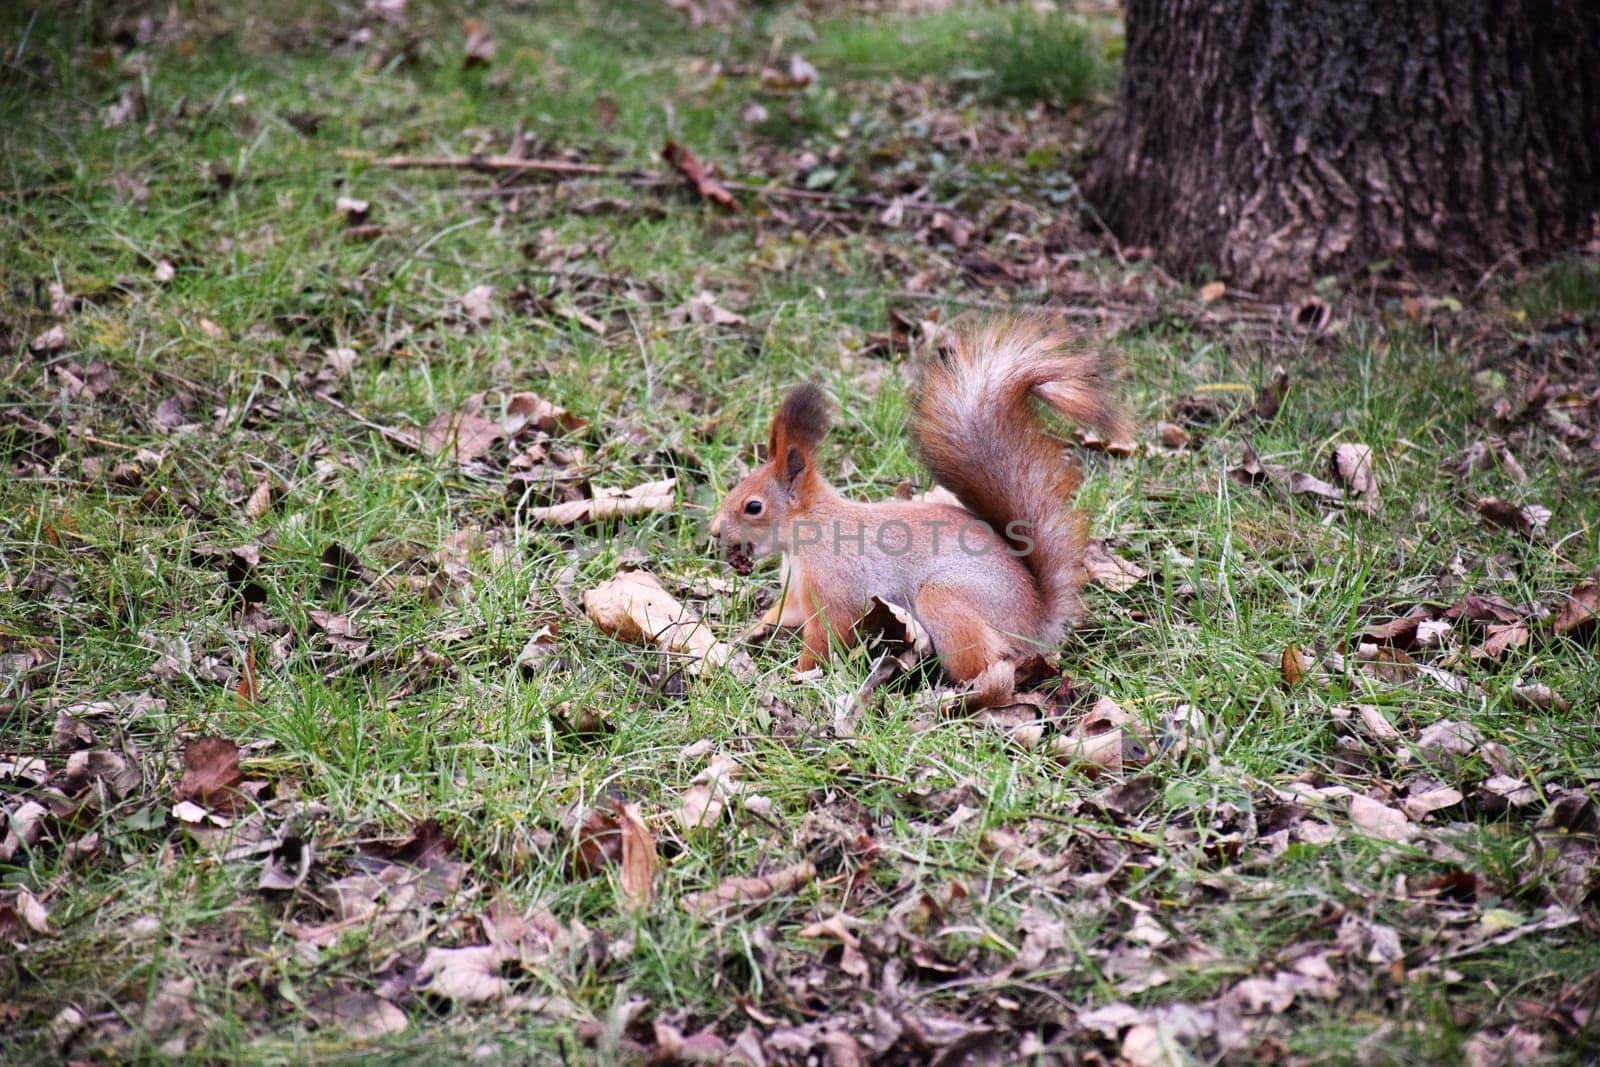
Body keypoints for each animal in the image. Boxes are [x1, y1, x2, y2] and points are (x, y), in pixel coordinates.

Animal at [713, 316, 1126, 700]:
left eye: (753, 506)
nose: (715, 531)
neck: (809, 533)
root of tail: (1036, 626)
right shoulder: (798, 592)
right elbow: (785, 614)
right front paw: (748, 633)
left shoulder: (838, 586)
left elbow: (826, 636)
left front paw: (798, 675)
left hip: (944, 600)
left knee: (984, 663)